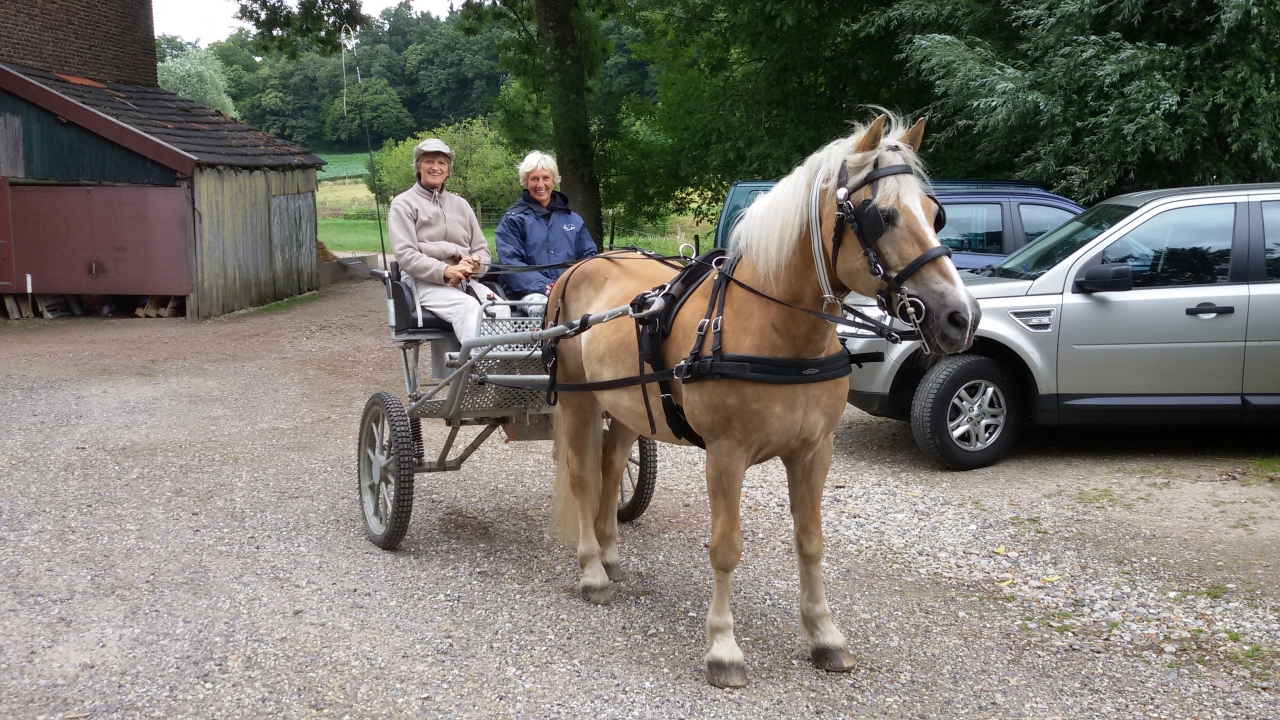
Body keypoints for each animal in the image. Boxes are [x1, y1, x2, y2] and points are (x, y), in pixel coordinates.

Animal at [546, 113, 979, 687]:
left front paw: (825, 636)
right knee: (584, 476)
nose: (961, 316)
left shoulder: (815, 451)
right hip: (579, 400)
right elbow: (725, 548)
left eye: (935, 213)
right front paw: (723, 649)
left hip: (628, 404)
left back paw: (612, 555)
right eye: (882, 215)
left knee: (613, 466)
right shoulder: (725, 456)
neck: (776, 329)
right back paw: (593, 570)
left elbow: (811, 542)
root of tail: (579, 266)